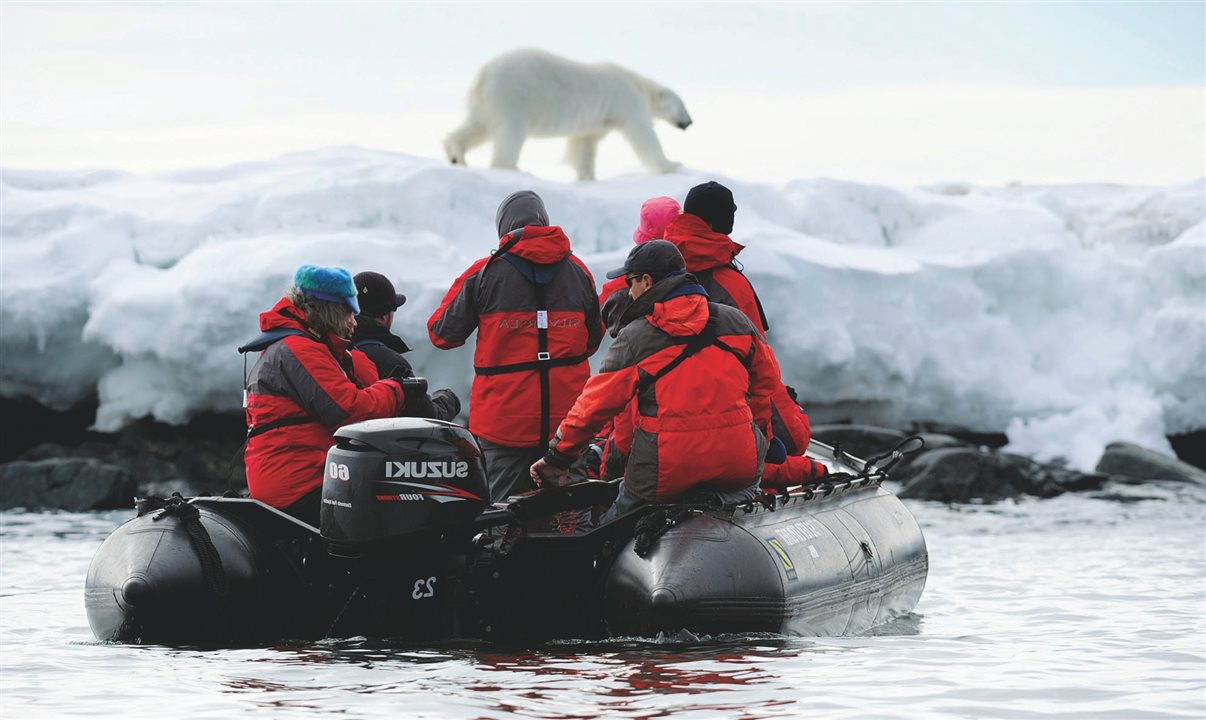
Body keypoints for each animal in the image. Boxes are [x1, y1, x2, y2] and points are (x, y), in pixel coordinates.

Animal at [446, 47, 694, 180]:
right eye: (683, 105)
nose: (690, 122)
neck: (640, 84)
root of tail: (484, 73)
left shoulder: (595, 124)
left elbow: (584, 143)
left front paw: (587, 176)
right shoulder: (629, 102)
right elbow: (643, 135)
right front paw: (672, 164)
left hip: (486, 101)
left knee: (478, 126)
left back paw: (456, 156)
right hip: (515, 95)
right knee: (510, 133)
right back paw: (510, 167)